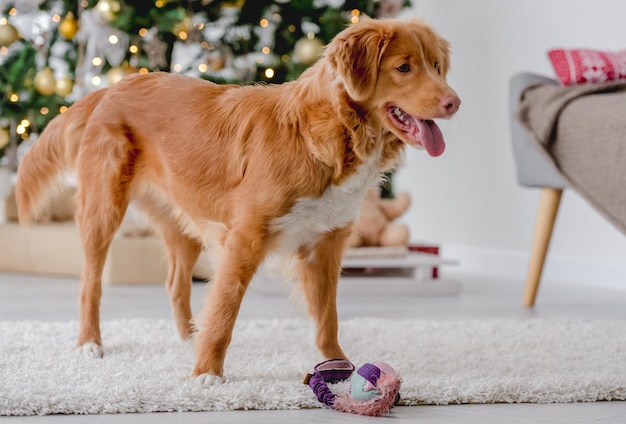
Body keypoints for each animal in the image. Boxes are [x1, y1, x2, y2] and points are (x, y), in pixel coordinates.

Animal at [14, 17, 458, 384]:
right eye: (404, 68)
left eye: (437, 67)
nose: (454, 102)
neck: (329, 134)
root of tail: (113, 86)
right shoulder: (245, 238)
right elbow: (226, 310)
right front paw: (206, 374)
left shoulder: (326, 244)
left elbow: (327, 317)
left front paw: (339, 364)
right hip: (104, 210)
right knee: (90, 283)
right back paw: (91, 343)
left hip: (185, 222)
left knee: (176, 282)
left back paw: (187, 336)